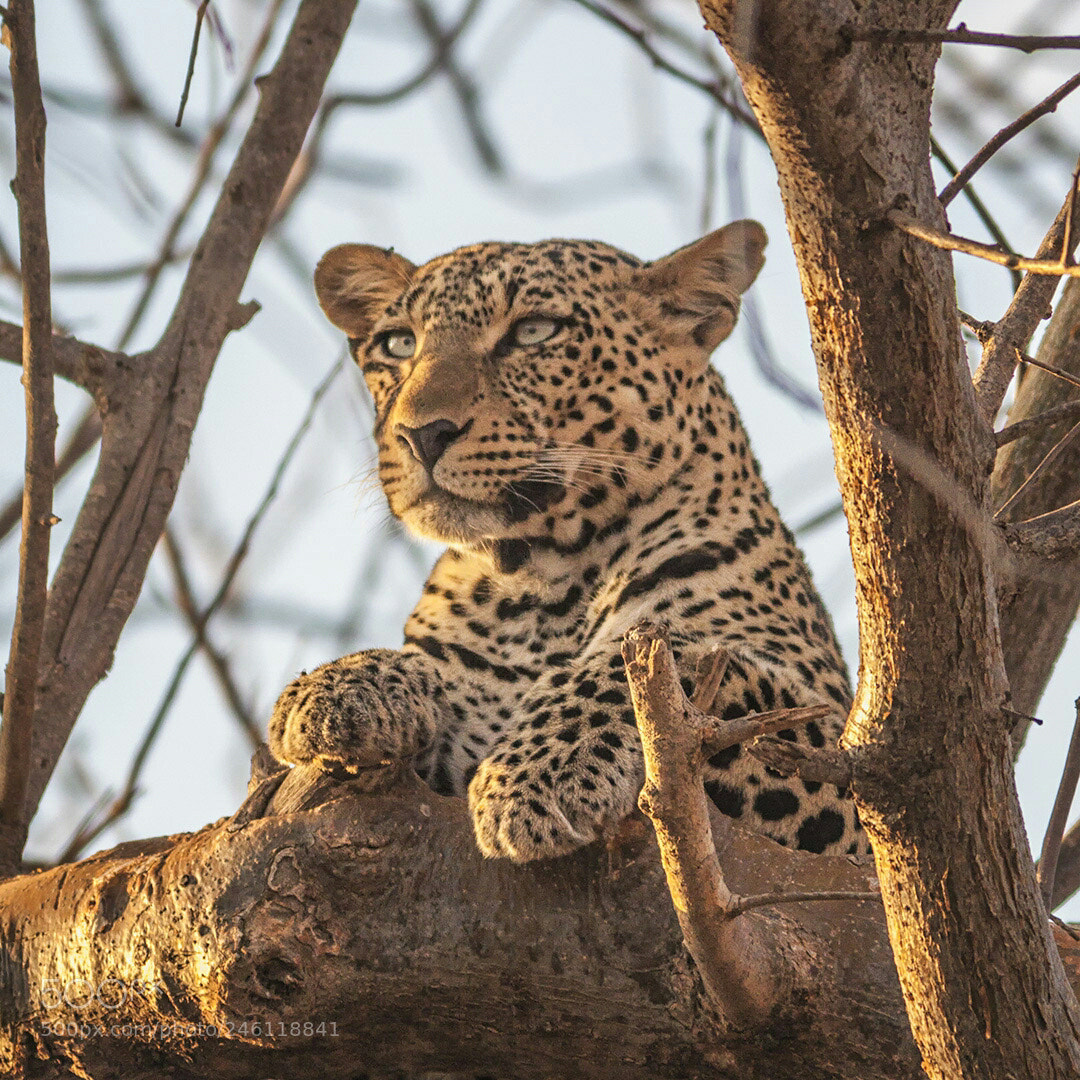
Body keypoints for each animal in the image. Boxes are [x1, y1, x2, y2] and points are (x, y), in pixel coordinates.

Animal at [267, 220, 867, 863]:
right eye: (399, 344)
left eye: (534, 331)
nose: (421, 434)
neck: (540, 578)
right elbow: (452, 674)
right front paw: (339, 685)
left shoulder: (841, 761)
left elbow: (660, 657)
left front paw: (539, 772)